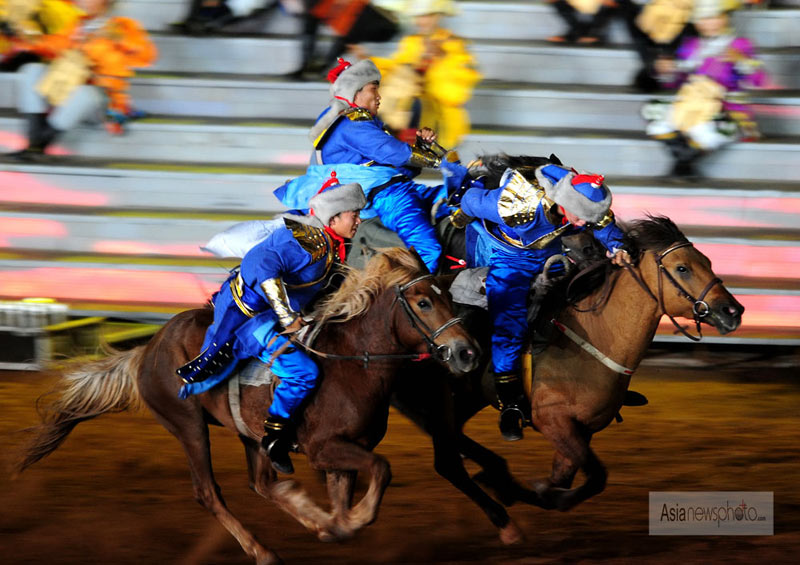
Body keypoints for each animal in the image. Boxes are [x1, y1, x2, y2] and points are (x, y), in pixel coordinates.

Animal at [15, 249, 478, 560]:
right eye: (423, 302)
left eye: (450, 299)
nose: (466, 353)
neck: (351, 363)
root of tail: (146, 350)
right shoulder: (325, 448)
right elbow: (381, 471)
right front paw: (348, 522)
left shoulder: (344, 452)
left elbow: (347, 495)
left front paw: (333, 525)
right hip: (188, 425)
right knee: (209, 492)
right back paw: (262, 551)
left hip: (251, 436)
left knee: (263, 483)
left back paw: (304, 512)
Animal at [390, 213, 748, 540]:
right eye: (682, 268)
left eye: (707, 261)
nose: (733, 311)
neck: (597, 335)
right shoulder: (553, 421)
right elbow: (595, 478)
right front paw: (526, 490)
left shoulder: (581, 430)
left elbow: (565, 481)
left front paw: (527, 489)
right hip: (431, 397)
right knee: (447, 459)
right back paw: (502, 511)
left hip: (463, 399)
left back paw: (496, 477)